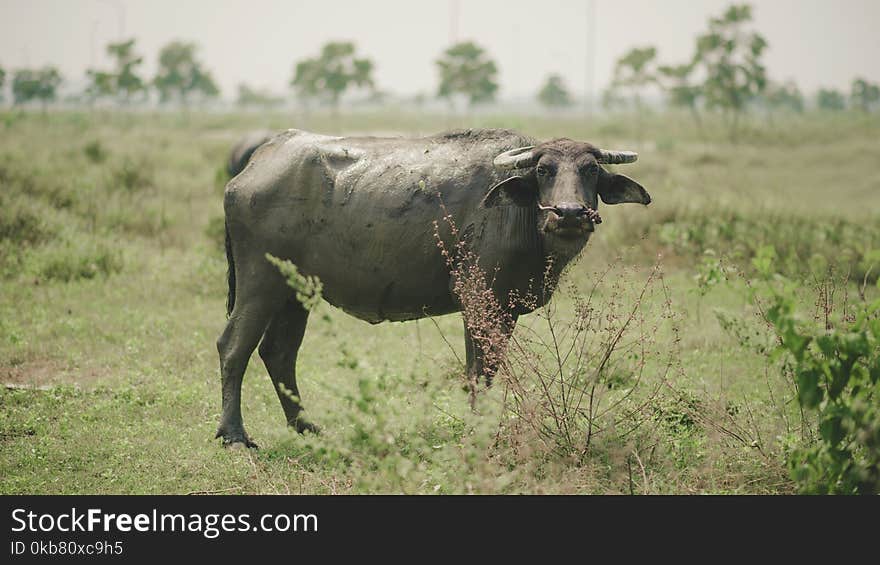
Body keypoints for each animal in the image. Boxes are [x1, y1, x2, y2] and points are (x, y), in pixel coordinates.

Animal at [217, 128, 648, 446]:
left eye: (590, 170)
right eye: (543, 171)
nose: (570, 213)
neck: (519, 215)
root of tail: (254, 164)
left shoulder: (503, 310)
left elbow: (487, 371)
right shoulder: (478, 301)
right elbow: (478, 372)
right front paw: (479, 433)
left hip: (296, 293)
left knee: (279, 353)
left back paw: (306, 426)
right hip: (260, 284)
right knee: (233, 347)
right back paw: (234, 435)